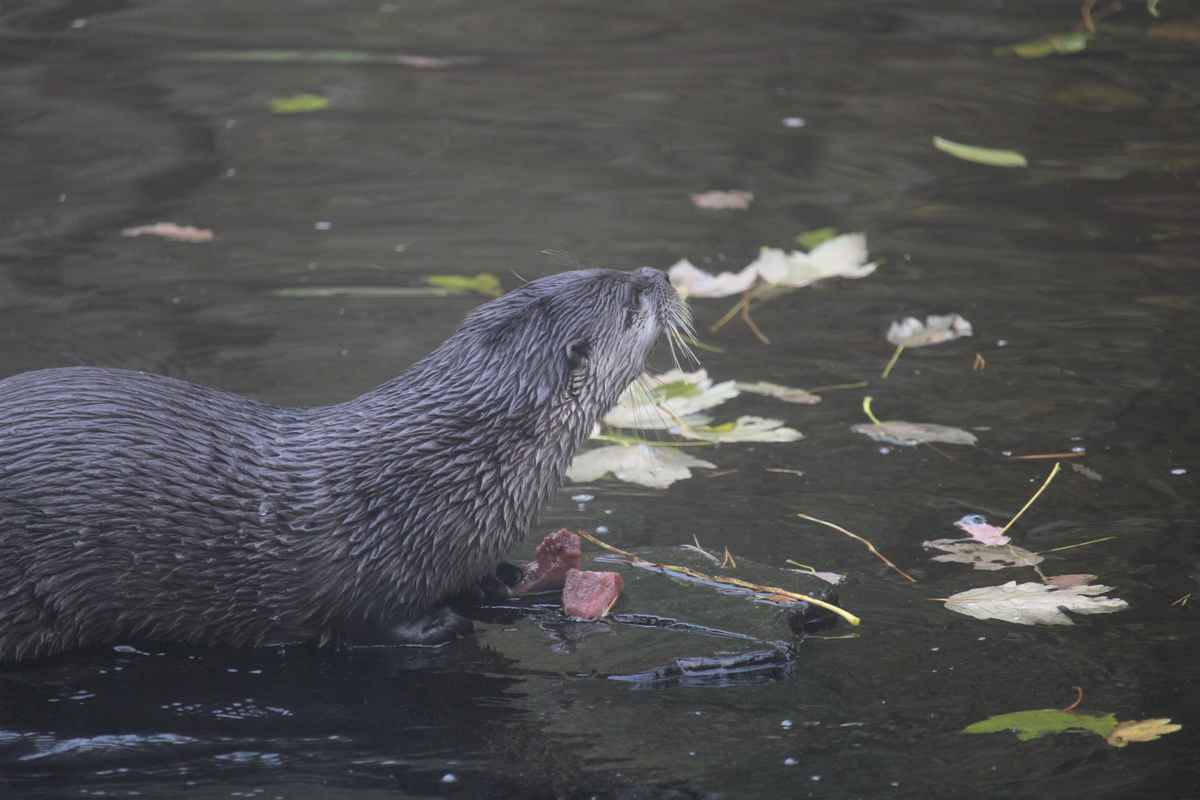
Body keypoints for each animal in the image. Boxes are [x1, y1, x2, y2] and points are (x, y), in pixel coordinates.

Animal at [0, 267, 688, 663]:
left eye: (612, 268)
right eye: (633, 300)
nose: (657, 271)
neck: (440, 479)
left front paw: (518, 578)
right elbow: (367, 623)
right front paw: (439, 626)